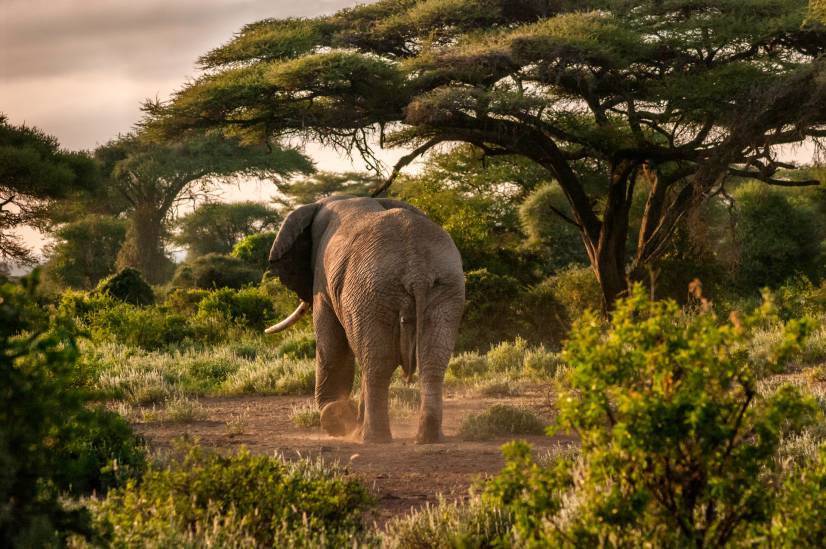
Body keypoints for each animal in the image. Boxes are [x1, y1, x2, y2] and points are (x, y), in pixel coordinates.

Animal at [268, 195, 466, 444]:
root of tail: (417, 272)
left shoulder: (322, 282)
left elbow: (331, 345)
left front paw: (336, 419)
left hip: (370, 291)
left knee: (377, 363)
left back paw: (372, 438)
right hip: (445, 287)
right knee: (432, 360)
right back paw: (427, 438)